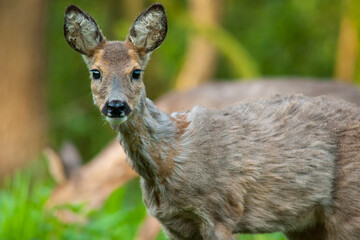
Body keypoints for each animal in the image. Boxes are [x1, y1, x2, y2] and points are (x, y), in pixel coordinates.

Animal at [64, 4, 360, 240]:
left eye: (136, 72)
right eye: (96, 72)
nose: (116, 105)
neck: (171, 158)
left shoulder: (221, 212)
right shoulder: (174, 225)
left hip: (349, 208)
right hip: (305, 224)